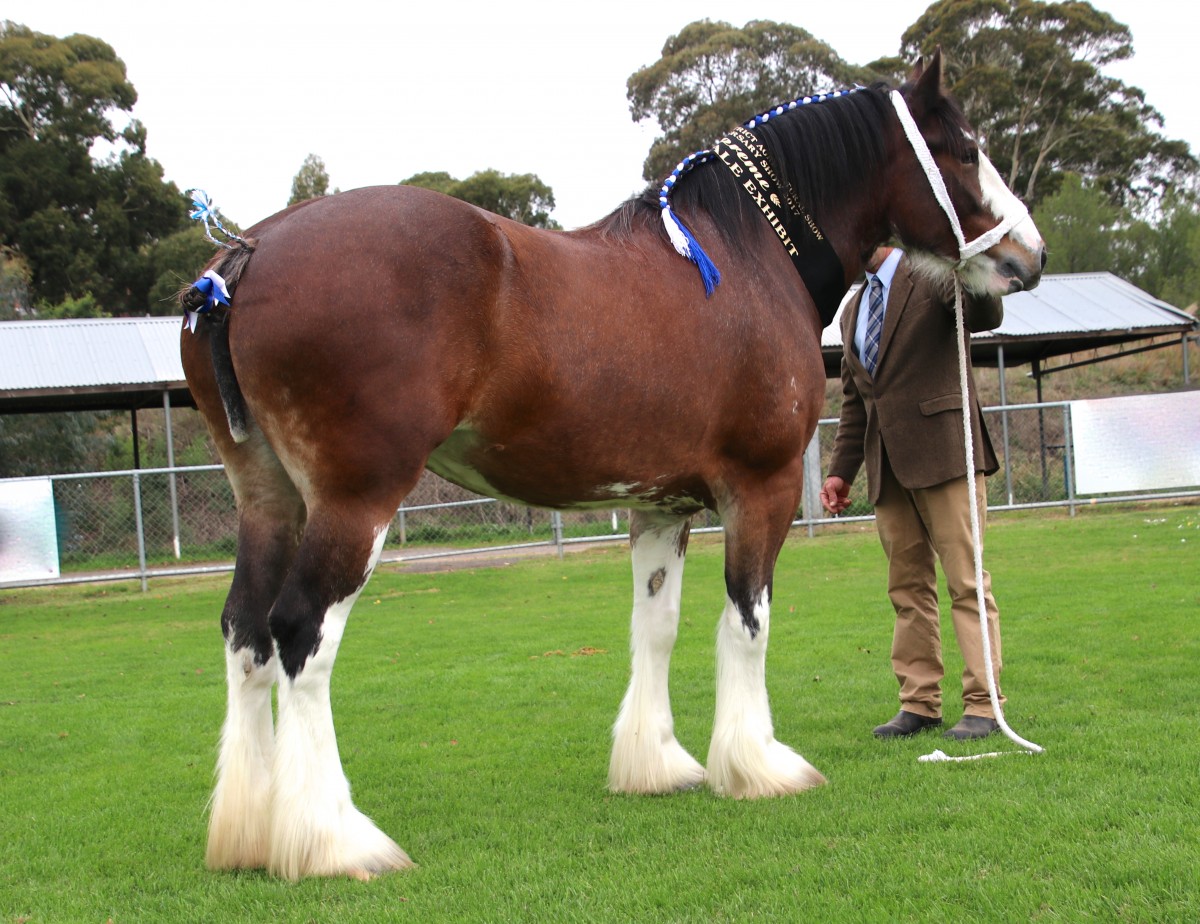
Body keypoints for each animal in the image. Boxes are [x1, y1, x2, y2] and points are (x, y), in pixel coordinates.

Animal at [180, 50, 1044, 881]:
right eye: (966, 149)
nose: (1027, 256)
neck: (745, 256)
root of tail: (245, 258)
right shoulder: (758, 490)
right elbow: (747, 623)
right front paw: (760, 766)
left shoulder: (661, 504)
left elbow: (655, 626)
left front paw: (657, 764)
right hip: (355, 502)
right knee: (300, 635)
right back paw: (335, 841)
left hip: (269, 500)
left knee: (246, 635)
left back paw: (250, 836)